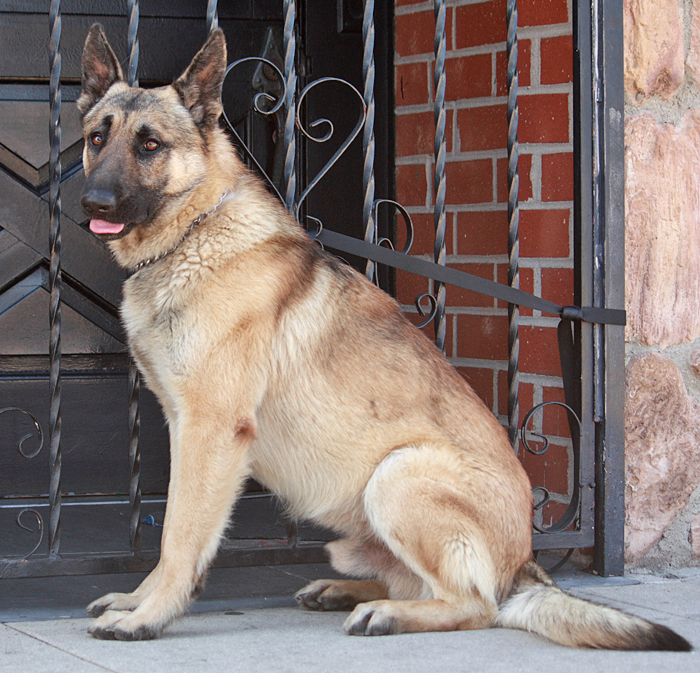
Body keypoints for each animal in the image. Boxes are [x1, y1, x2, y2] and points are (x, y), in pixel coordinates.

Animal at [77, 24, 690, 650]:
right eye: (97, 139)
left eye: (150, 145)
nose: (92, 204)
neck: (195, 231)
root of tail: (524, 565)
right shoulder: (186, 428)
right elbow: (170, 532)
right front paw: (139, 600)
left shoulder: (211, 430)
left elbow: (180, 535)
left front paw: (149, 617)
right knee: (418, 584)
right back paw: (346, 592)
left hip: (397, 475)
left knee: (476, 605)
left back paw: (389, 615)